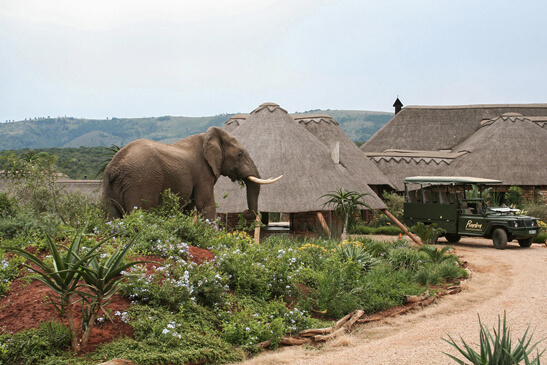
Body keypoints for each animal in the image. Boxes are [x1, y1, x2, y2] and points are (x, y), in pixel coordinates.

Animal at [102, 126, 282, 219]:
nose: (245, 212)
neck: (208, 136)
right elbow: (205, 204)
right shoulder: (203, 172)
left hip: (109, 187)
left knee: (110, 215)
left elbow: (189, 208)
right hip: (141, 181)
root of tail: (115, 167)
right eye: (239, 155)